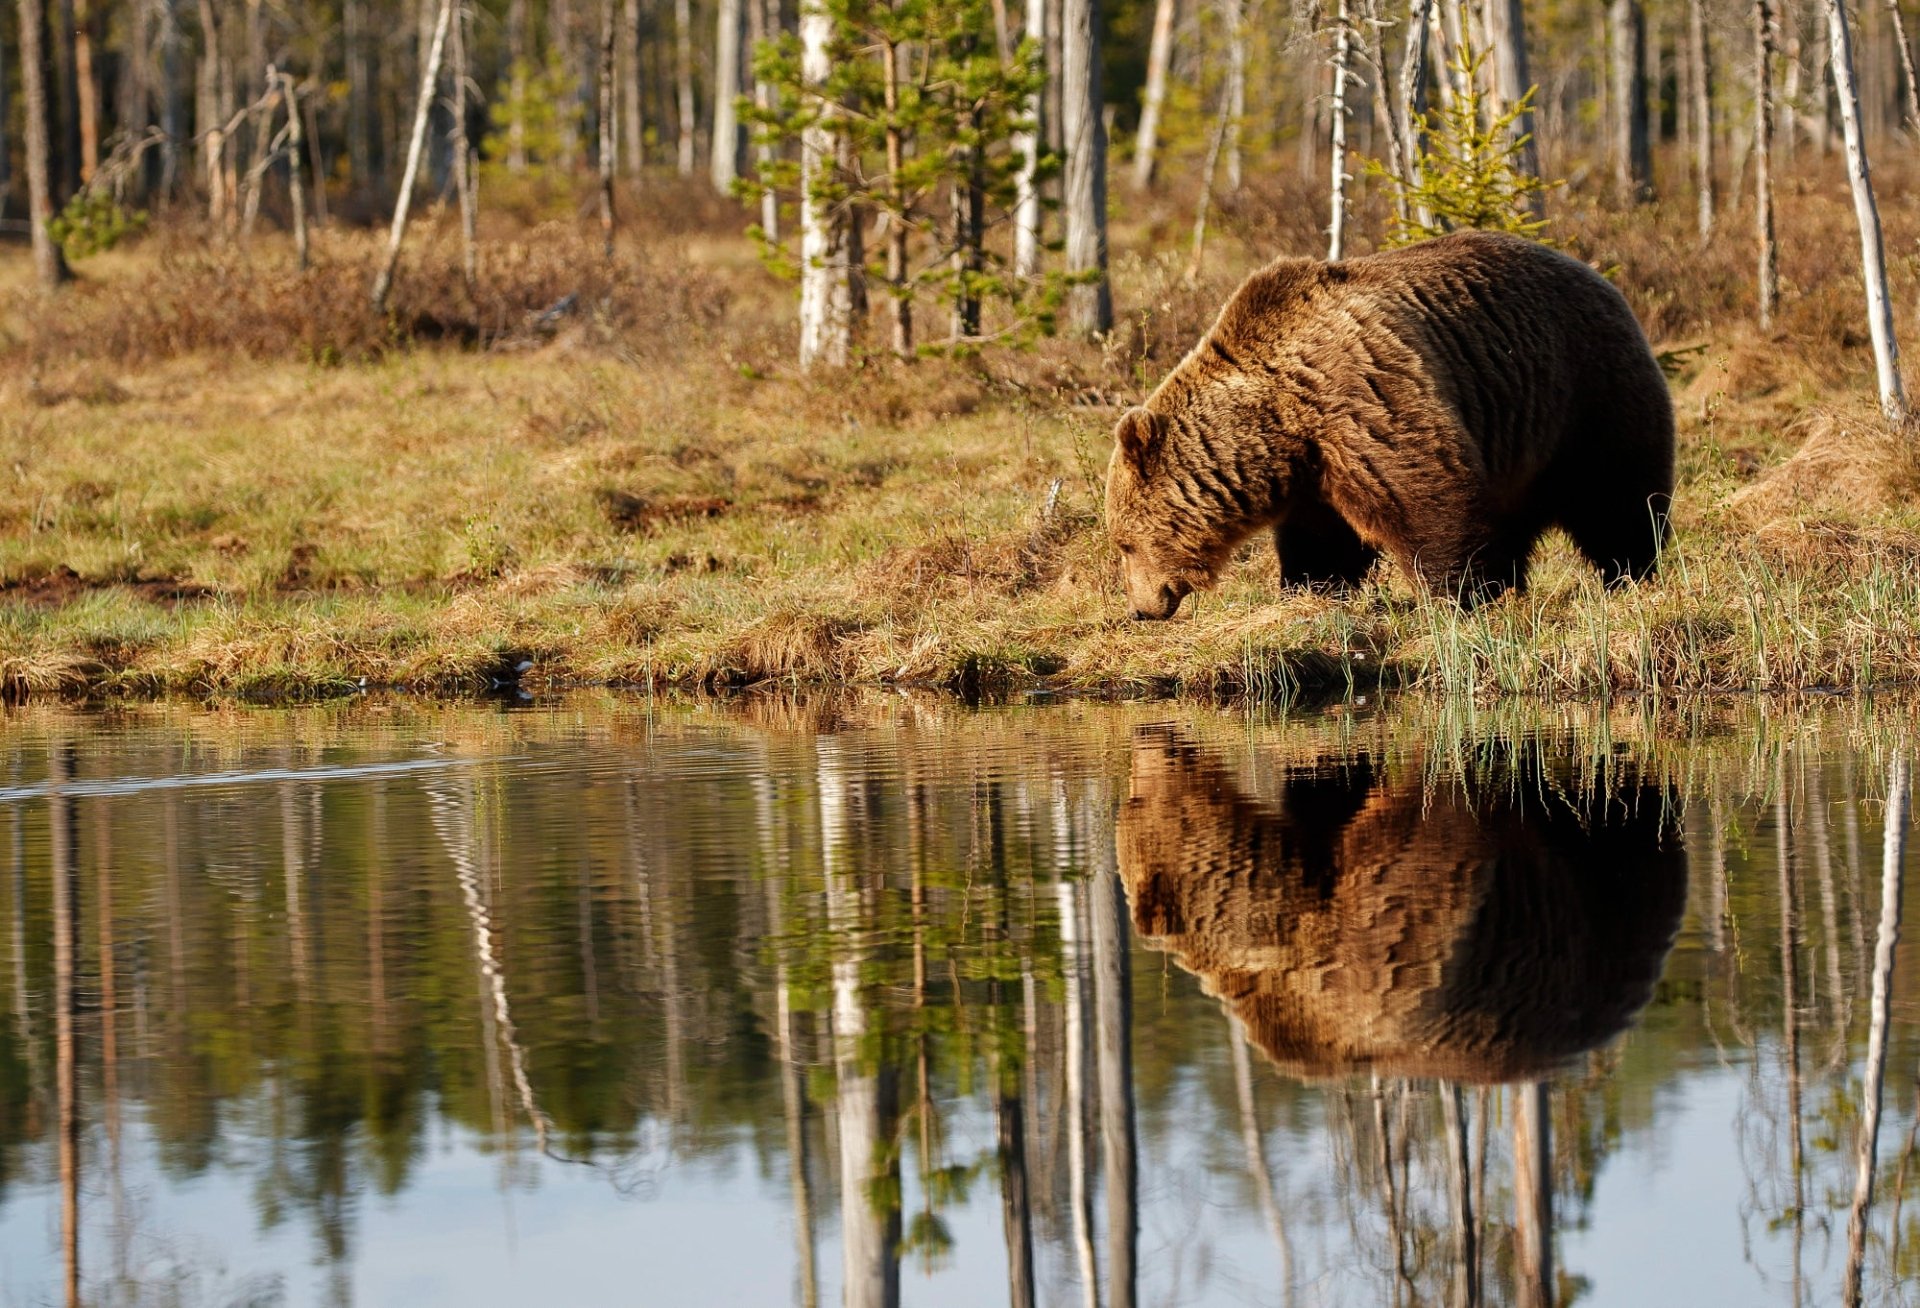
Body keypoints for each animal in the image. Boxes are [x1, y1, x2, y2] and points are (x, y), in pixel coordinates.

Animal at [1104, 230, 1676, 619]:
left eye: (1124, 543)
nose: (1141, 608)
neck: (1277, 423)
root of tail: (1602, 277)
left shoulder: (1363, 402)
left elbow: (1427, 495)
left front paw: (1458, 593)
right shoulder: (1315, 467)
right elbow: (1323, 541)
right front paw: (1310, 588)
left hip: (1587, 396)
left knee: (1617, 499)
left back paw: (1631, 572)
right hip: (1521, 445)